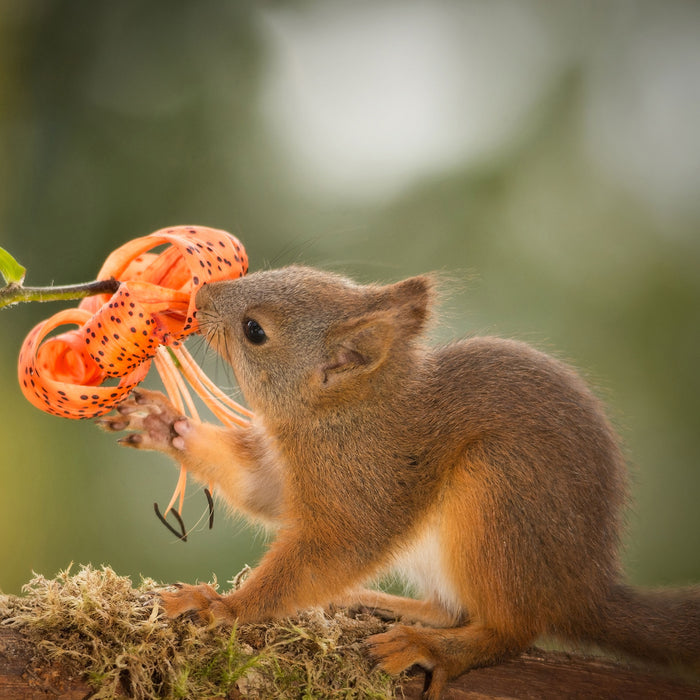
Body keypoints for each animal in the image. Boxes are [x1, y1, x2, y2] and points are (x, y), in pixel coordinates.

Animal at [104, 266, 700, 696]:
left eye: (255, 331)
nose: (199, 295)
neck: (342, 415)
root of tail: (583, 590)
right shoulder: (289, 475)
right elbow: (260, 492)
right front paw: (165, 424)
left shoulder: (364, 485)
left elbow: (328, 553)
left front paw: (223, 608)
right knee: (450, 609)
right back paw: (378, 603)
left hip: (499, 499)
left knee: (509, 628)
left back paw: (434, 648)